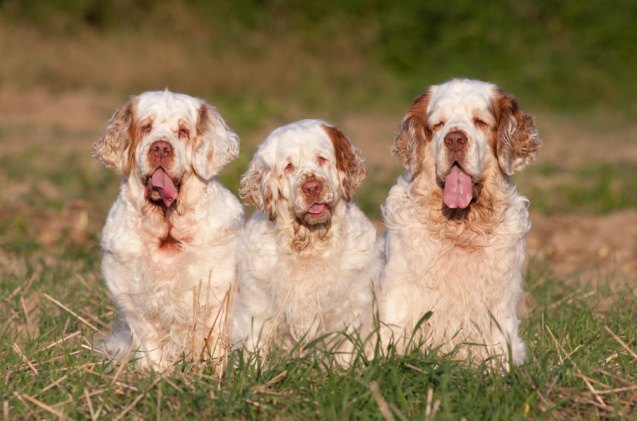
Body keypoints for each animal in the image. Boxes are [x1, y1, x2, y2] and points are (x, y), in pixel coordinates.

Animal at [93, 90, 242, 370]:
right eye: (146, 127)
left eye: (183, 131)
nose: (161, 147)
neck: (167, 230)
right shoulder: (131, 298)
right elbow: (151, 345)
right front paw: (157, 373)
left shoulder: (218, 292)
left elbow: (216, 342)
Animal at [231, 119, 380, 360]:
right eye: (289, 167)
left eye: (322, 159)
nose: (312, 187)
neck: (310, 246)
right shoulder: (257, 313)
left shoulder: (350, 315)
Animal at [380, 79, 540, 364]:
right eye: (439, 124)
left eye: (480, 121)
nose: (455, 139)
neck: (460, 227)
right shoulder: (399, 294)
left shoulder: (498, 306)